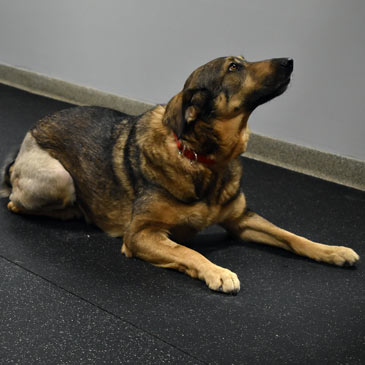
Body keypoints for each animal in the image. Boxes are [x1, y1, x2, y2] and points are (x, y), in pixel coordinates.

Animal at [0, 54, 358, 292]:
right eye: (234, 67)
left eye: (242, 62)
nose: (289, 61)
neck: (203, 159)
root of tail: (22, 145)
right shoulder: (140, 234)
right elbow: (187, 250)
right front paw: (217, 271)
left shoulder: (241, 220)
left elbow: (292, 236)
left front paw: (333, 251)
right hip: (58, 180)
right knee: (16, 204)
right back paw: (75, 211)